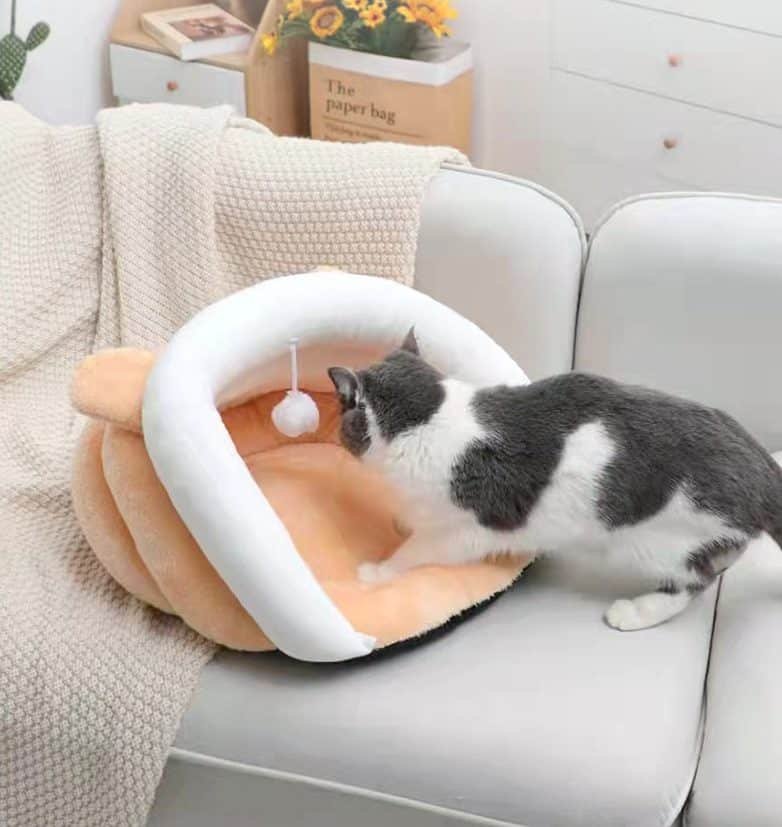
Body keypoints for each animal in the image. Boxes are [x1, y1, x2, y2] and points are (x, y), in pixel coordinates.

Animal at [327, 329, 782, 631]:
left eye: (342, 409)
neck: (428, 418)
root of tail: (762, 466)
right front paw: (402, 521)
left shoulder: (464, 530)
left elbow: (415, 552)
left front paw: (377, 573)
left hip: (665, 539)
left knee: (695, 582)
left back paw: (637, 613)